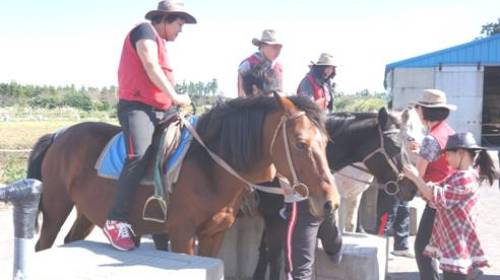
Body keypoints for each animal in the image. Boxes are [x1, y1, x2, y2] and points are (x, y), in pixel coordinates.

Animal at [27, 95, 340, 258]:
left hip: (86, 214)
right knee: (43, 245)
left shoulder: (214, 236)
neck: (210, 166)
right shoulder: (181, 235)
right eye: (300, 143)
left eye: (326, 142)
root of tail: (58, 134)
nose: (330, 202)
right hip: (56, 208)